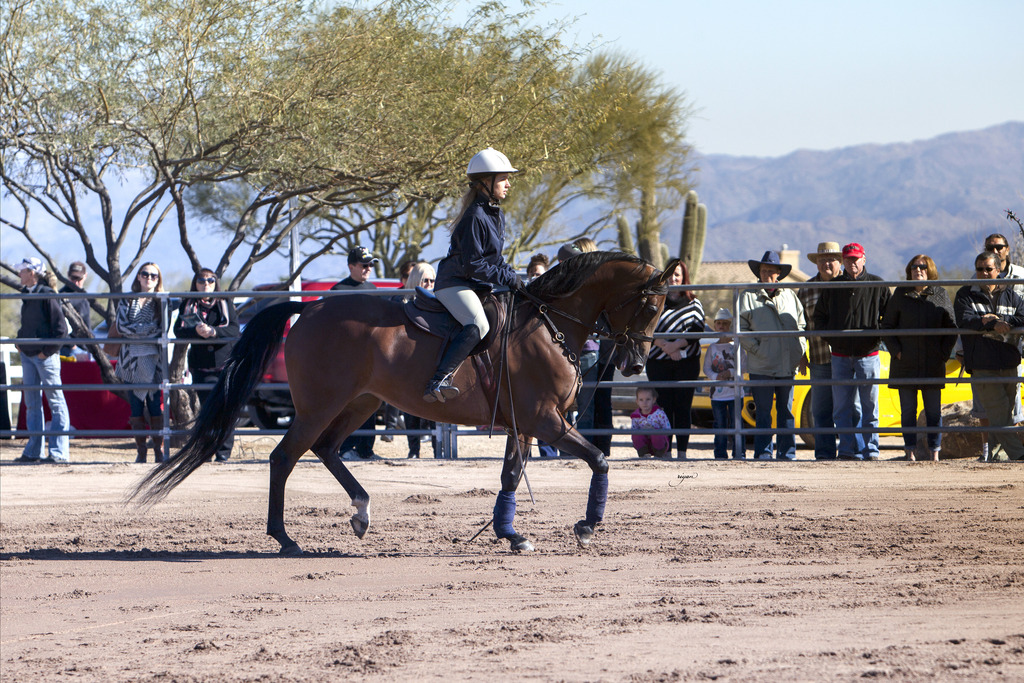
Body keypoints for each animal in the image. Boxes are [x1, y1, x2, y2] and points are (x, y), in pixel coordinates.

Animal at [132, 252, 677, 554]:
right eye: (651, 304)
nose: (634, 362)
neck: (547, 324)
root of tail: (311, 308)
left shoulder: (524, 424)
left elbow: (509, 476)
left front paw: (510, 534)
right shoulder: (547, 421)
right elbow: (600, 458)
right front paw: (586, 526)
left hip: (359, 404)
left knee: (327, 450)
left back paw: (360, 511)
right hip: (320, 406)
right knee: (285, 457)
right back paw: (284, 538)